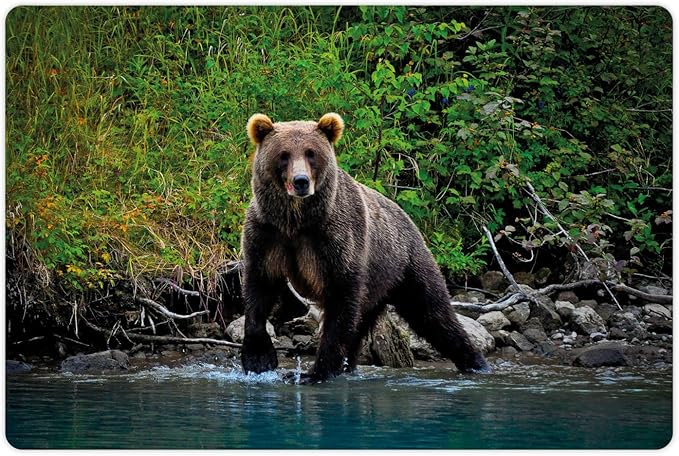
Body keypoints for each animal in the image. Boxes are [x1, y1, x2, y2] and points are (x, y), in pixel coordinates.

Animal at [240, 112, 490, 383]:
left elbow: (340, 303)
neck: (296, 221)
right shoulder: (267, 234)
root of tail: (407, 217)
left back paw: (477, 363)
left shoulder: (336, 240)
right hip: (376, 285)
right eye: (284, 154)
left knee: (432, 313)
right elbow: (259, 287)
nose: (301, 181)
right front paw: (258, 359)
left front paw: (316, 372)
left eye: (311, 153)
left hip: (404, 264)